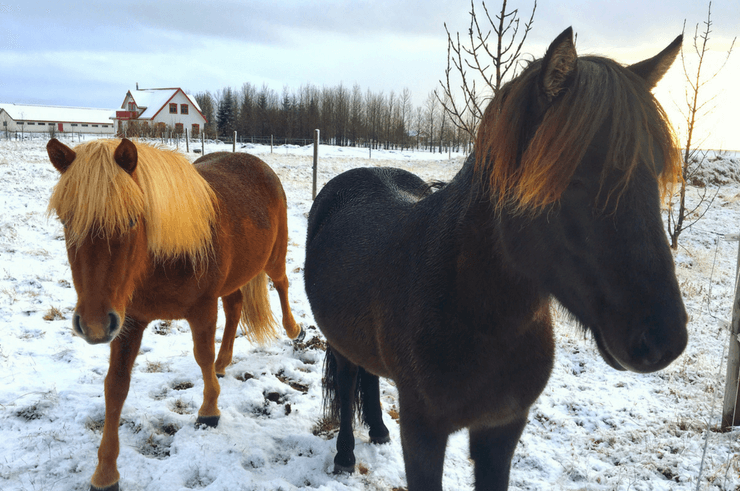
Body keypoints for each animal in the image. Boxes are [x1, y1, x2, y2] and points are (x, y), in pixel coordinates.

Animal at [46, 138, 302, 491]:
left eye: (131, 221)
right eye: (66, 221)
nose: (94, 325)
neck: (160, 258)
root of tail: (257, 164)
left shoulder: (202, 309)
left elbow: (202, 356)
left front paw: (209, 410)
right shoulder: (127, 321)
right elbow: (115, 385)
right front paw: (106, 471)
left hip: (273, 257)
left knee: (281, 283)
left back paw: (293, 330)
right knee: (235, 306)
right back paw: (224, 362)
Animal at [304, 28, 692, 490]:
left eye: (657, 172)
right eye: (572, 178)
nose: (665, 340)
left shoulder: (502, 429)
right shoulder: (423, 434)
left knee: (370, 375)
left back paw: (378, 430)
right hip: (339, 341)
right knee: (348, 383)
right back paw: (345, 454)